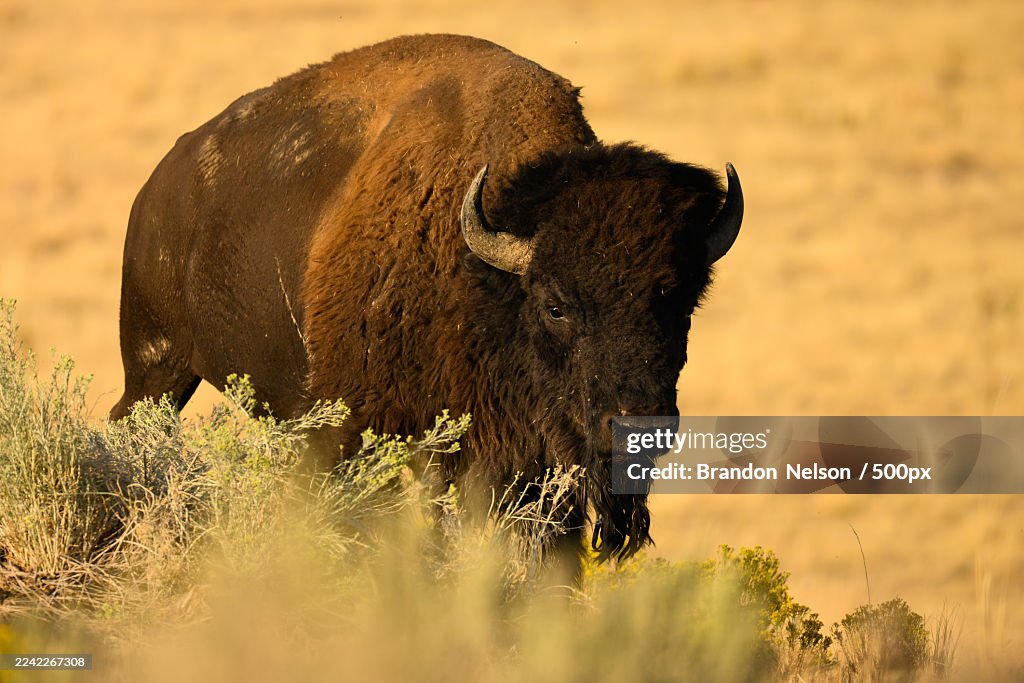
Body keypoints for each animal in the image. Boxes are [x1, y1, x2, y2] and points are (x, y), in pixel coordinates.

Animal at [112, 34, 743, 564]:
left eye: (679, 300)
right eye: (555, 306)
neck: (485, 278)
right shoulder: (371, 434)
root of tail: (158, 186)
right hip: (155, 368)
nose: (636, 425)